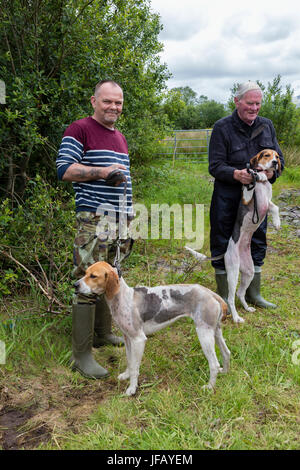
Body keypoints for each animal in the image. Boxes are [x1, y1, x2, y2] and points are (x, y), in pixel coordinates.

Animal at [74, 262, 231, 394]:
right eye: (85, 273)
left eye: (93, 276)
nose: (75, 285)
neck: (123, 297)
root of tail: (211, 293)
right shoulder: (127, 339)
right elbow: (130, 362)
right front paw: (126, 375)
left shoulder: (138, 340)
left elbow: (135, 368)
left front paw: (132, 389)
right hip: (216, 332)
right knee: (226, 353)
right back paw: (224, 372)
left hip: (204, 334)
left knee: (214, 364)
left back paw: (209, 387)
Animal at [186, 150, 280, 324]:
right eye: (266, 155)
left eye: (276, 156)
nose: (275, 163)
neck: (262, 184)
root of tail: (228, 249)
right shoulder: (248, 196)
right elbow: (255, 178)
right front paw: (259, 174)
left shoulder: (267, 203)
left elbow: (275, 207)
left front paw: (277, 222)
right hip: (233, 271)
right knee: (230, 297)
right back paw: (236, 317)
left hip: (249, 272)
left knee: (240, 293)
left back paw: (247, 308)